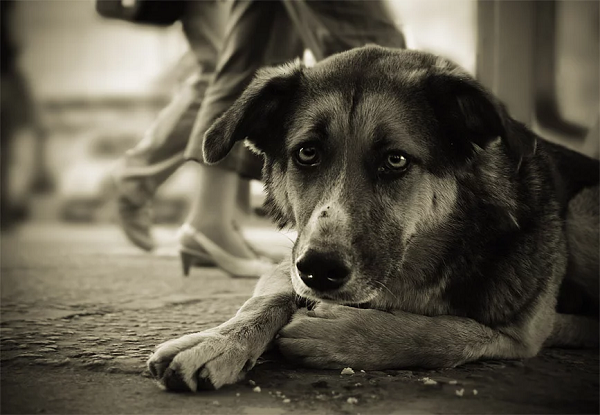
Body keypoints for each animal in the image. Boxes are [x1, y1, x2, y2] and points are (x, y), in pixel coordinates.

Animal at [146, 46, 600, 394]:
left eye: (395, 160)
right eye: (306, 153)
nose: (319, 271)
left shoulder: (521, 332)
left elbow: (454, 333)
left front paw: (344, 335)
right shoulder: (288, 263)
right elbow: (266, 299)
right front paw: (217, 342)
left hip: (582, 211)